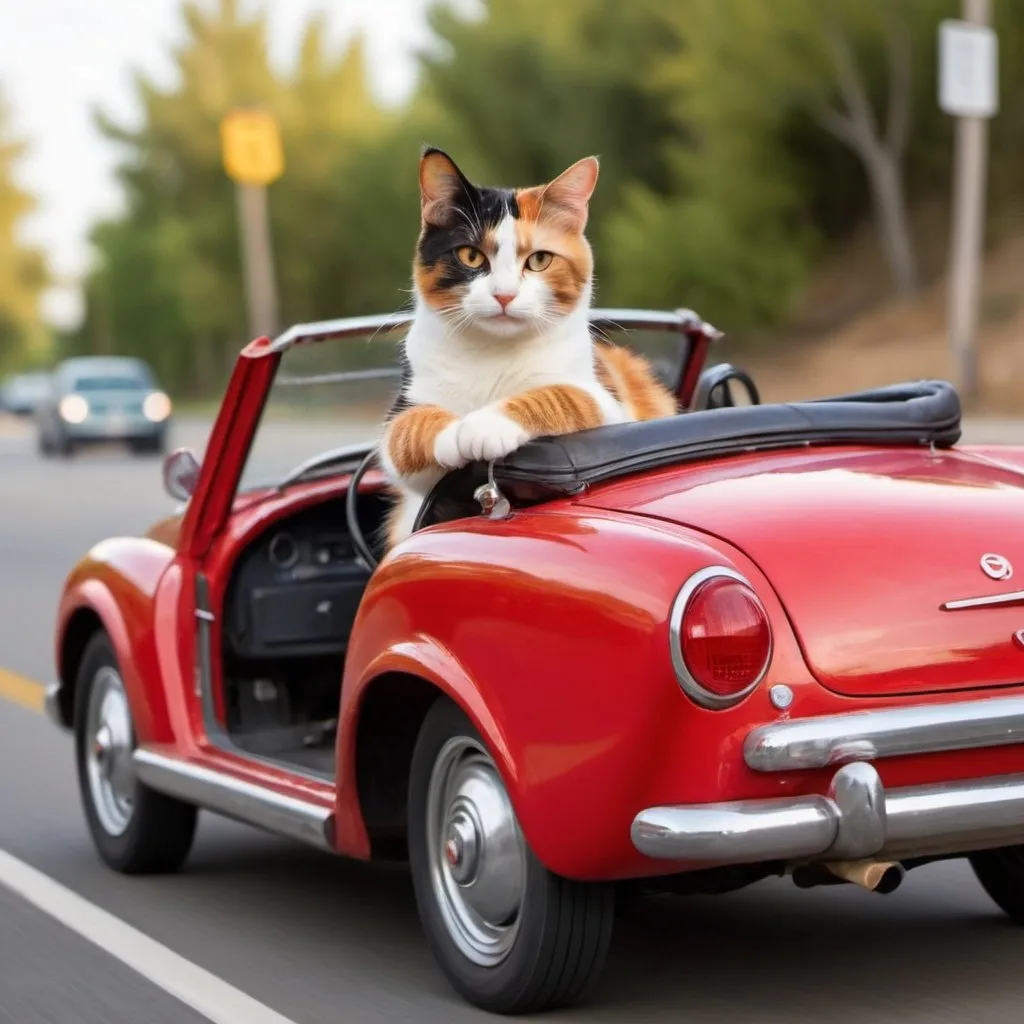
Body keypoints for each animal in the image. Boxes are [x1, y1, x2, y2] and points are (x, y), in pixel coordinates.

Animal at [376, 146, 679, 552]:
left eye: (539, 259)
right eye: (471, 256)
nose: (504, 294)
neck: (493, 353)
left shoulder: (607, 404)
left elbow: (557, 395)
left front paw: (483, 426)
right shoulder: (407, 424)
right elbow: (407, 430)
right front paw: (453, 432)